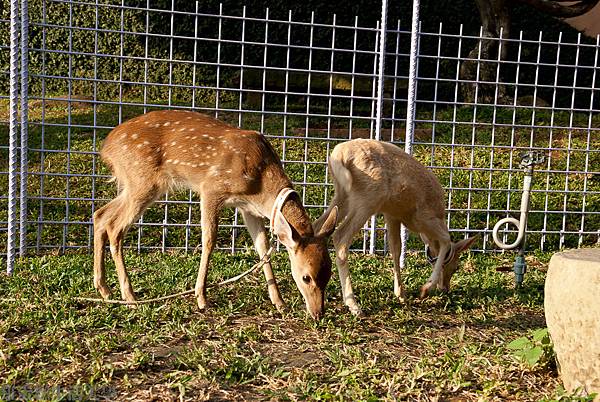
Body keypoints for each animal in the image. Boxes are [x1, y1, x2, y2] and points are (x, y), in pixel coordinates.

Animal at [94, 110, 338, 318]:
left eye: (329, 274)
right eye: (306, 277)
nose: (318, 313)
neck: (261, 182)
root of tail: (106, 147)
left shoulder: (248, 209)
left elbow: (262, 247)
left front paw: (279, 302)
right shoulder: (211, 188)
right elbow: (209, 239)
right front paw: (201, 297)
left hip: (134, 184)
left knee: (101, 215)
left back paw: (104, 289)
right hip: (143, 180)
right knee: (115, 227)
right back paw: (129, 296)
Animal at [312, 139, 476, 318]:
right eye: (456, 266)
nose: (445, 288)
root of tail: (339, 155)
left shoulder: (392, 215)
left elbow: (396, 248)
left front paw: (401, 294)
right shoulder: (423, 217)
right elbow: (446, 239)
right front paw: (425, 289)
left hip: (343, 195)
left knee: (317, 226)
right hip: (367, 199)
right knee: (340, 237)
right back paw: (354, 306)